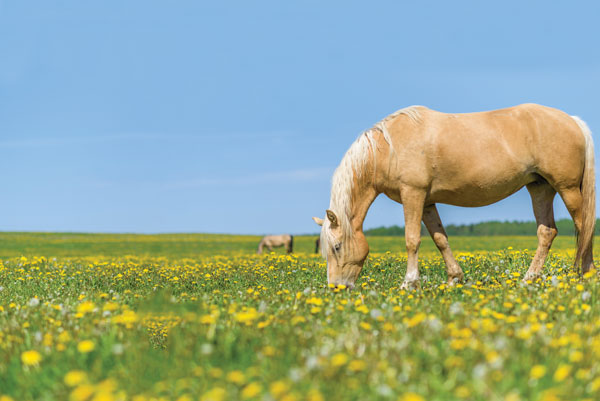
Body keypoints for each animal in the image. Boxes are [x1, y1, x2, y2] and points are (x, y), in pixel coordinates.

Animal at [314, 104, 596, 290]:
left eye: (337, 247)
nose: (336, 288)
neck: (389, 148)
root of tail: (572, 120)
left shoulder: (413, 194)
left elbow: (412, 240)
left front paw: (409, 283)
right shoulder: (427, 202)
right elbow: (440, 239)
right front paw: (454, 278)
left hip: (568, 188)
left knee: (585, 226)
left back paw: (586, 274)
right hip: (540, 188)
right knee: (547, 232)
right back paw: (529, 279)